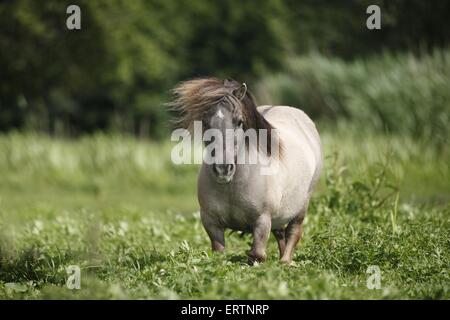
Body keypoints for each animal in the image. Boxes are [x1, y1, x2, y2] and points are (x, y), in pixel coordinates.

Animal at [171, 76, 322, 264]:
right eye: (205, 123)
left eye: (239, 122)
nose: (223, 169)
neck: (233, 185)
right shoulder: (211, 222)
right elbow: (220, 254)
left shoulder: (262, 220)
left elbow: (257, 255)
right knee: (280, 233)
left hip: (302, 205)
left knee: (293, 232)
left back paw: (285, 263)